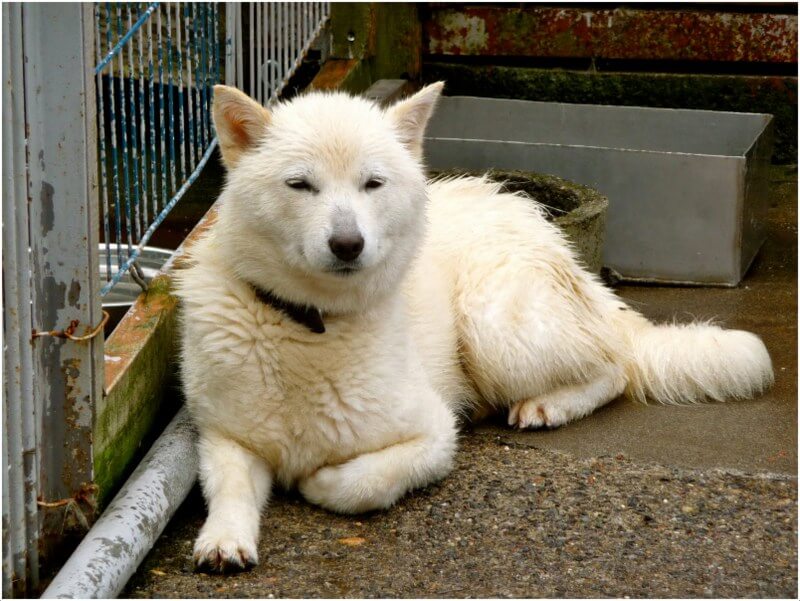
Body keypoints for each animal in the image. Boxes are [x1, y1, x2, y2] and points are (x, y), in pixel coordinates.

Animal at [177, 82, 776, 568]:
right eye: (300, 185)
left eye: (373, 184)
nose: (348, 244)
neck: (312, 323)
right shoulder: (224, 438)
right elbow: (229, 488)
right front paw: (223, 541)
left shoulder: (435, 435)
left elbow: (360, 483)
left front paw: (317, 480)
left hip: (495, 326)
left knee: (615, 367)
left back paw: (548, 405)